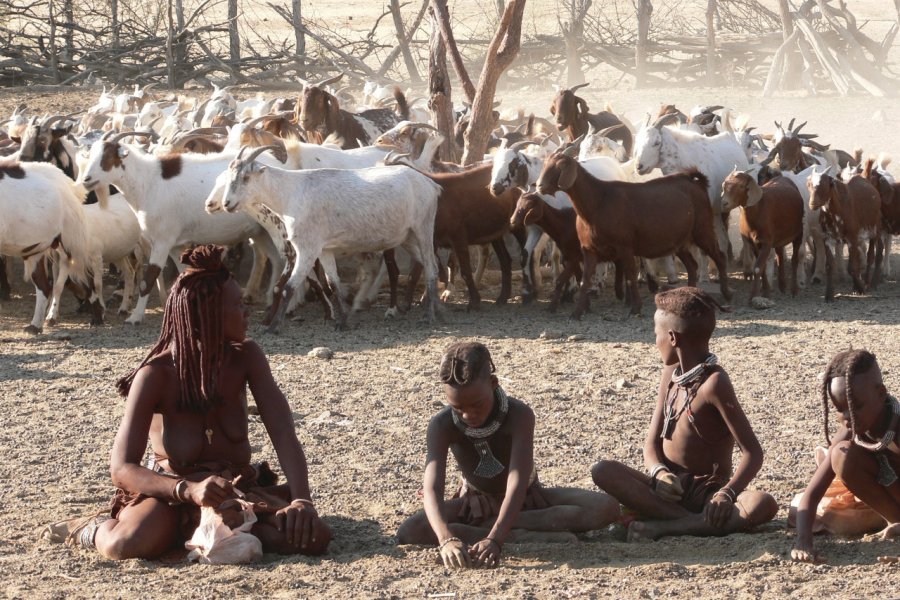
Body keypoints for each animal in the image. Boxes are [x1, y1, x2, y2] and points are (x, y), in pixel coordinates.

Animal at [536, 152, 732, 316]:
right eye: (545, 164)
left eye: (559, 167)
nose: (539, 186)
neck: (597, 202)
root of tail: (696, 181)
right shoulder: (589, 250)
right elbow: (585, 279)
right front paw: (577, 313)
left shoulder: (624, 247)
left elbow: (630, 275)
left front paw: (635, 308)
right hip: (679, 241)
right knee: (692, 265)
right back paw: (689, 296)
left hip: (703, 229)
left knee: (719, 257)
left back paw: (726, 294)